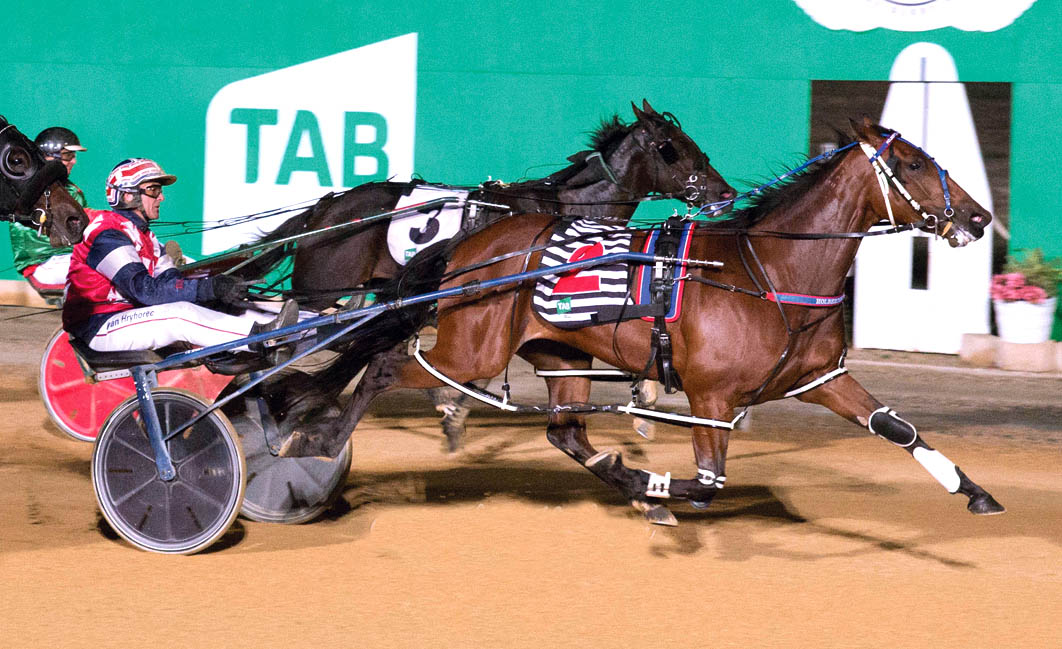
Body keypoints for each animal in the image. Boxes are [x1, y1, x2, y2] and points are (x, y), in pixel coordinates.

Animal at [240, 100, 734, 450]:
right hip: (319, 292)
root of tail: (324, 209)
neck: (564, 207)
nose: (725, 192)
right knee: (297, 338)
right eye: (672, 148)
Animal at [275, 117, 1004, 525]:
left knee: (564, 431)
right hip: (467, 346)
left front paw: (974, 491)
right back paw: (311, 435)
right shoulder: (713, 395)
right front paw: (657, 484)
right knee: (383, 366)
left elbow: (897, 428)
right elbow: (707, 484)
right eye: (912, 163)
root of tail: (472, 245)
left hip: (560, 353)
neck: (771, 269)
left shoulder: (820, 378)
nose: (978, 217)